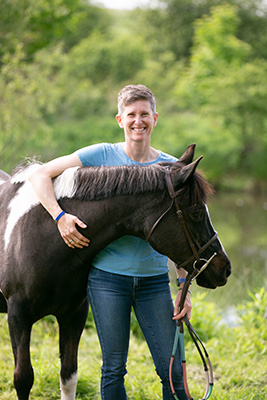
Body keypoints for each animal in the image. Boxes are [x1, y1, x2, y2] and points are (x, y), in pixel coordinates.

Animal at [0, 144, 231, 400]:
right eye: (196, 212)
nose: (225, 268)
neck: (45, 234)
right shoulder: (18, 316)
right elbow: (23, 378)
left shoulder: (74, 315)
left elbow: (68, 375)